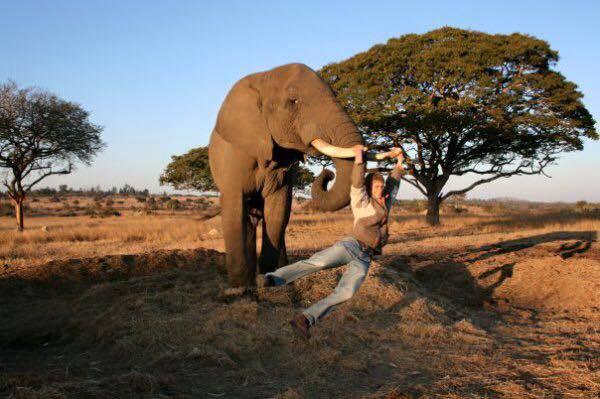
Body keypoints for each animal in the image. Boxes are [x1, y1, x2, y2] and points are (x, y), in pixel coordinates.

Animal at [209, 62, 372, 288]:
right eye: (293, 102)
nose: (328, 173)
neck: (263, 78)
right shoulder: (233, 155)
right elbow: (234, 209)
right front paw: (241, 288)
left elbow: (277, 210)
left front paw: (267, 279)